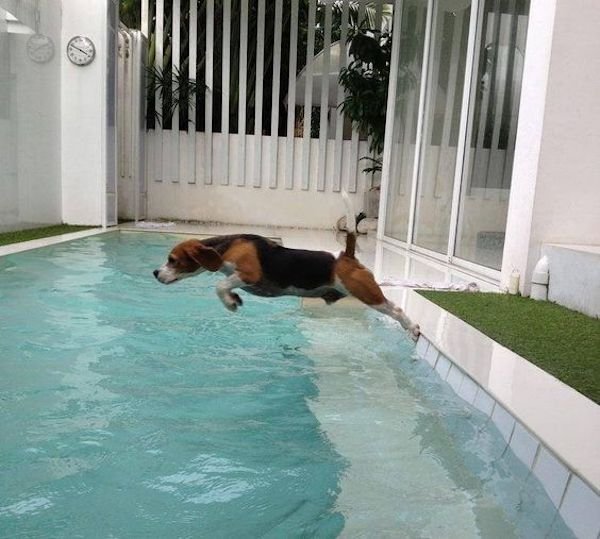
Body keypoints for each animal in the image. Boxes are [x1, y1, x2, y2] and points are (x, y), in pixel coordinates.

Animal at [152, 230, 420, 340]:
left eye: (172, 260)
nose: (155, 273)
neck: (226, 246)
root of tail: (346, 256)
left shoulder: (248, 274)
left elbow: (220, 285)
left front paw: (230, 302)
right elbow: (224, 285)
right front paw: (234, 298)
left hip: (366, 292)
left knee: (396, 309)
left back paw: (413, 328)